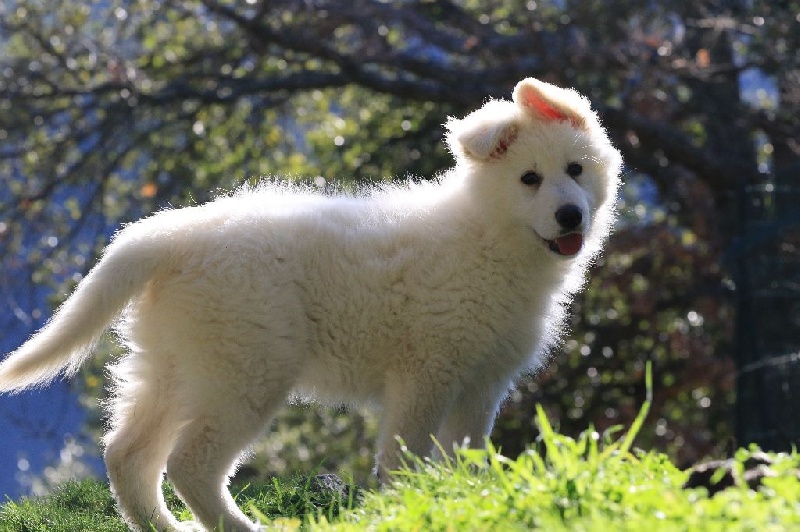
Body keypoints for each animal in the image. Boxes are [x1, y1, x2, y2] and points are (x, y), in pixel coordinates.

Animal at [0, 77, 624, 528]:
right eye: (528, 179)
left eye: (575, 170)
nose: (571, 216)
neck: (490, 238)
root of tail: (170, 235)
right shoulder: (425, 374)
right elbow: (404, 458)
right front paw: (407, 505)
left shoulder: (481, 383)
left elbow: (462, 457)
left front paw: (459, 501)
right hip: (248, 370)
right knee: (189, 463)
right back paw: (239, 527)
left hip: (179, 364)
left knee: (128, 455)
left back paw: (163, 528)